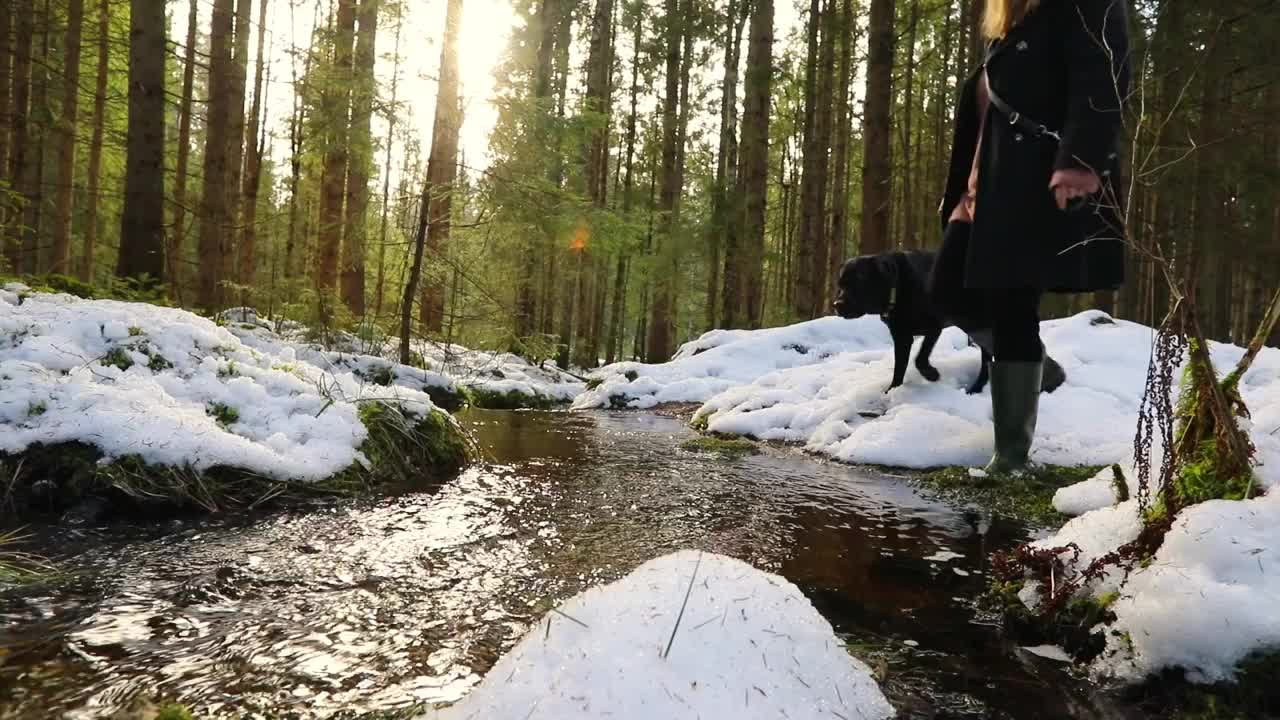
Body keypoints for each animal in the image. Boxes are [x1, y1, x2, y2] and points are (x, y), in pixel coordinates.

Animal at [829, 248, 988, 392]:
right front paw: (892, 390)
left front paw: (931, 374)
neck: (898, 286)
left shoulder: (933, 327)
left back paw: (976, 388)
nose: (837, 304)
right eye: (840, 285)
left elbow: (919, 359)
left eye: (858, 281)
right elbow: (900, 367)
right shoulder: (901, 337)